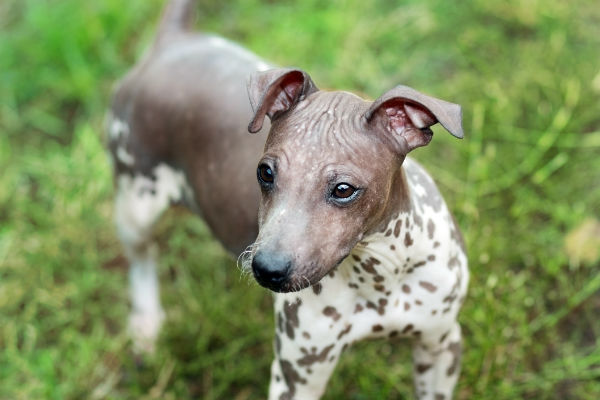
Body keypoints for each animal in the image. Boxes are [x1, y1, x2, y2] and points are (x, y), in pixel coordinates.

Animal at [110, 0, 472, 400]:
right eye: (265, 173)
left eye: (343, 189)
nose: (266, 269)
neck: (378, 274)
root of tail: (174, 41)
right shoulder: (298, 373)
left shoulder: (440, 345)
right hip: (136, 201)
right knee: (141, 258)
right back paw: (146, 324)